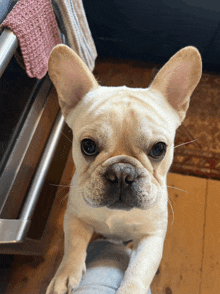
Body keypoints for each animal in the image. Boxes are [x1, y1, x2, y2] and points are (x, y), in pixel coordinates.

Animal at [45, 44, 202, 294]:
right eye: (88, 146)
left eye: (159, 149)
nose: (121, 172)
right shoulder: (75, 218)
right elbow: (73, 245)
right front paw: (64, 276)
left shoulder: (151, 238)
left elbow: (139, 270)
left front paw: (130, 289)